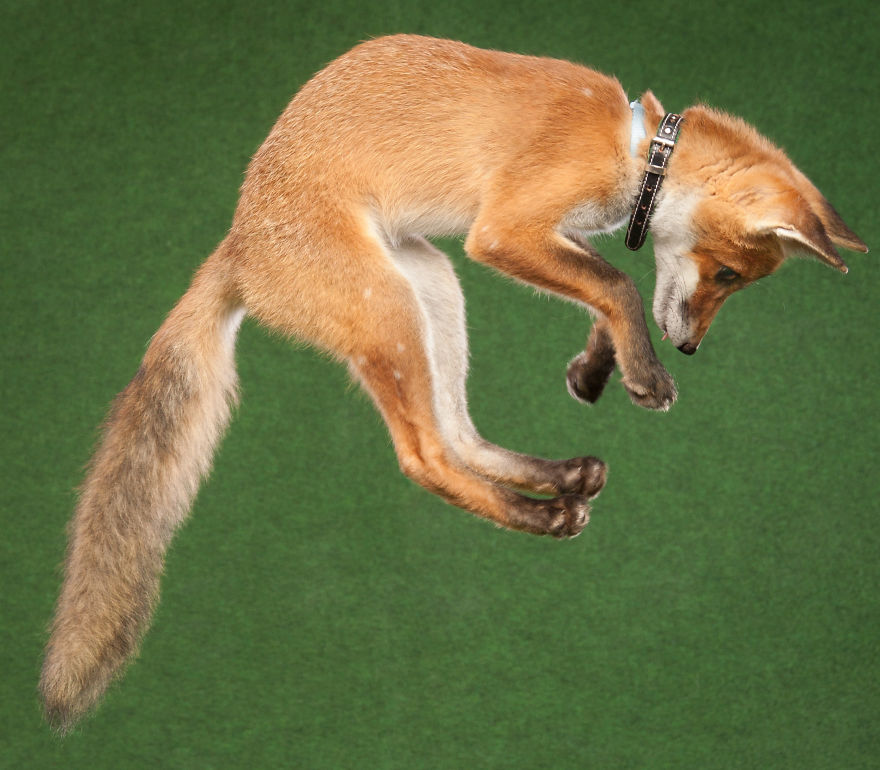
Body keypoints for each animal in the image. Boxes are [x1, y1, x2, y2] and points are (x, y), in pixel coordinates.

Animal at [41, 34, 867, 732]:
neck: (637, 147)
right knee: (425, 457)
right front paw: (642, 374)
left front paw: (596, 368)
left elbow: (608, 289)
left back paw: (557, 479)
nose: (689, 348)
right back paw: (542, 515)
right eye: (727, 275)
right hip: (393, 309)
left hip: (436, 288)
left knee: (459, 435)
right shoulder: (504, 229)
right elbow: (620, 283)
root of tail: (237, 247)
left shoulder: (543, 239)